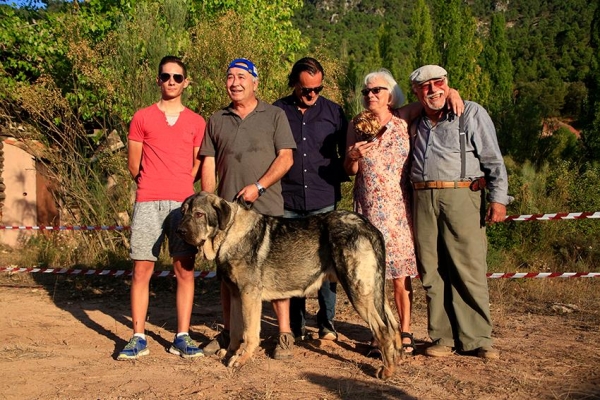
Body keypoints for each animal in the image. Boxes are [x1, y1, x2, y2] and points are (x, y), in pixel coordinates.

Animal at [178, 192, 404, 380]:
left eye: (199, 214)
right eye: (183, 212)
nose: (180, 231)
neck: (229, 232)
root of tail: (369, 226)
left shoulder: (249, 295)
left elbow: (250, 333)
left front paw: (241, 359)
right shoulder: (235, 295)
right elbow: (235, 330)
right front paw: (231, 352)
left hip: (358, 291)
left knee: (383, 329)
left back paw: (387, 371)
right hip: (374, 291)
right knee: (394, 326)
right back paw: (397, 359)